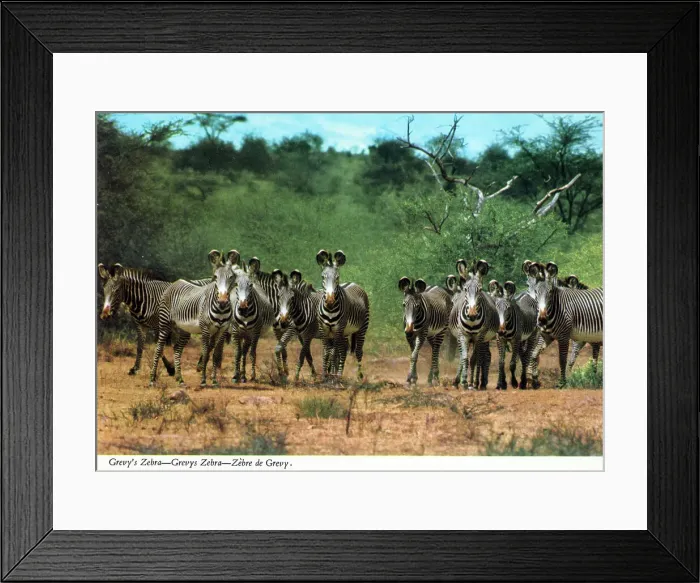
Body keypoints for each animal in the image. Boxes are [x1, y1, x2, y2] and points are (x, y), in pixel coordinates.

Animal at [148, 250, 238, 387]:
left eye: (231, 277)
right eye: (215, 277)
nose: (222, 300)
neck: (221, 309)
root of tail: (175, 282)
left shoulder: (221, 330)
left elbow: (215, 355)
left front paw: (214, 380)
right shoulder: (205, 329)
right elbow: (205, 353)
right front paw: (203, 381)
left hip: (184, 330)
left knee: (177, 349)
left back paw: (180, 379)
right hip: (164, 324)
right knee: (158, 349)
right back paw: (152, 379)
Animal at [316, 249, 370, 382]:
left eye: (337, 277)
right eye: (323, 277)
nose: (330, 300)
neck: (330, 309)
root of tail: (353, 283)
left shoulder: (338, 329)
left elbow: (334, 352)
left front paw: (332, 376)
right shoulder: (323, 329)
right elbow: (326, 352)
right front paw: (325, 375)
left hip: (362, 327)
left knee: (358, 351)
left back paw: (358, 376)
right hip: (345, 332)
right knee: (344, 350)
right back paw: (340, 374)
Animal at [449, 259, 499, 390]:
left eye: (480, 290)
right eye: (466, 289)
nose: (472, 314)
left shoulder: (479, 337)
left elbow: (474, 359)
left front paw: (472, 383)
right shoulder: (463, 336)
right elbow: (465, 359)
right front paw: (464, 382)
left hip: (485, 339)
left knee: (484, 357)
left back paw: (480, 383)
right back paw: (459, 381)